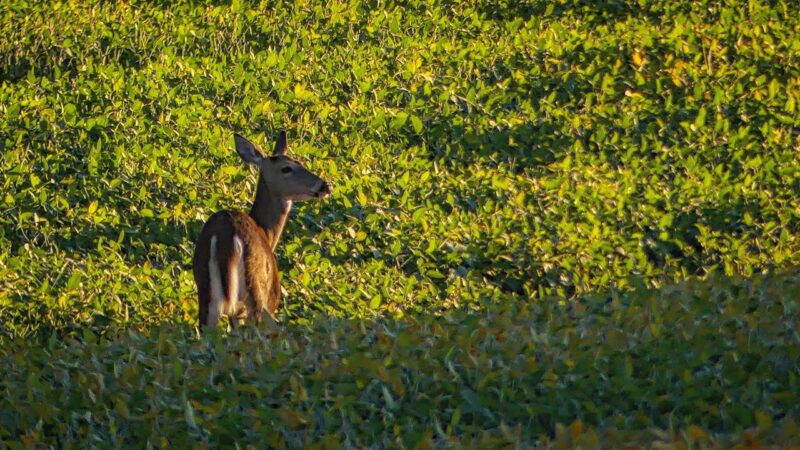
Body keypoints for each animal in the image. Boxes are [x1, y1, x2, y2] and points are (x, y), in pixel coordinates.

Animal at [192, 130, 330, 330]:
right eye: (286, 168)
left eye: (300, 162)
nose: (324, 186)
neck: (266, 232)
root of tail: (224, 238)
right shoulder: (271, 296)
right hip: (255, 290)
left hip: (206, 291)